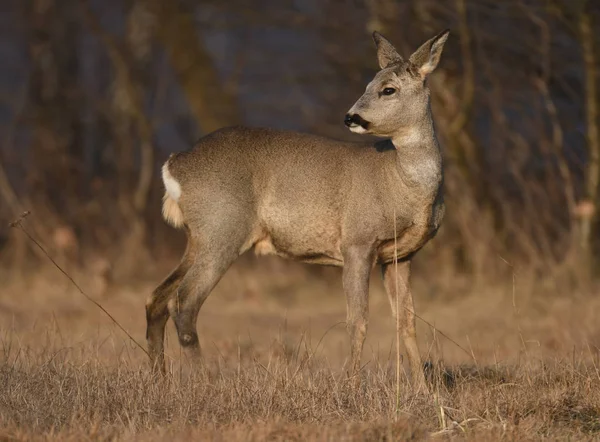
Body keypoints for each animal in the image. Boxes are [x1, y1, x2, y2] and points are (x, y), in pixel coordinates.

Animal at [148, 30, 450, 390]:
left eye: (387, 88)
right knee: (183, 302)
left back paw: (159, 380)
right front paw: (351, 386)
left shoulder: (400, 255)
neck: (401, 182)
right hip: (222, 228)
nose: (351, 117)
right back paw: (203, 382)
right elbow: (357, 320)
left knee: (157, 298)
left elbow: (407, 321)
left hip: (198, 237)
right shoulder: (357, 242)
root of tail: (176, 163)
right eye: (368, 84)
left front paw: (425, 391)